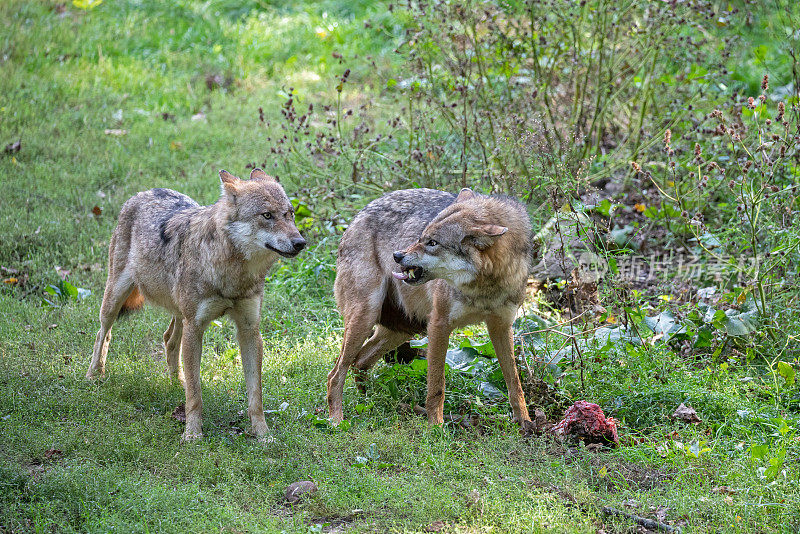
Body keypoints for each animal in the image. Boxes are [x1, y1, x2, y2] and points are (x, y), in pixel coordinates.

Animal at [86, 170, 306, 442]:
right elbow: (195, 395)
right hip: (115, 300)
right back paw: (94, 375)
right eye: (267, 215)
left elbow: (256, 396)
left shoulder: (249, 330)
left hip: (180, 314)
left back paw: (176, 382)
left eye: (290, 214)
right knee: (103, 334)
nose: (300, 242)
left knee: (169, 339)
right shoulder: (196, 327)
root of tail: (144, 192)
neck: (232, 274)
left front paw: (263, 436)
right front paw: (192, 435)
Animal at [328, 187, 536, 428]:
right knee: (335, 374)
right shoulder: (439, 324)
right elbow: (437, 384)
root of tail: (358, 215)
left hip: (404, 329)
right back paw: (336, 419)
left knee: (359, 362)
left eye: (433, 243)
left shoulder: (501, 327)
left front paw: (525, 422)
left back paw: (369, 403)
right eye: (421, 237)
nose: (397, 255)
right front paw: (435, 426)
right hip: (366, 318)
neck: (483, 287)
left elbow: (514, 382)